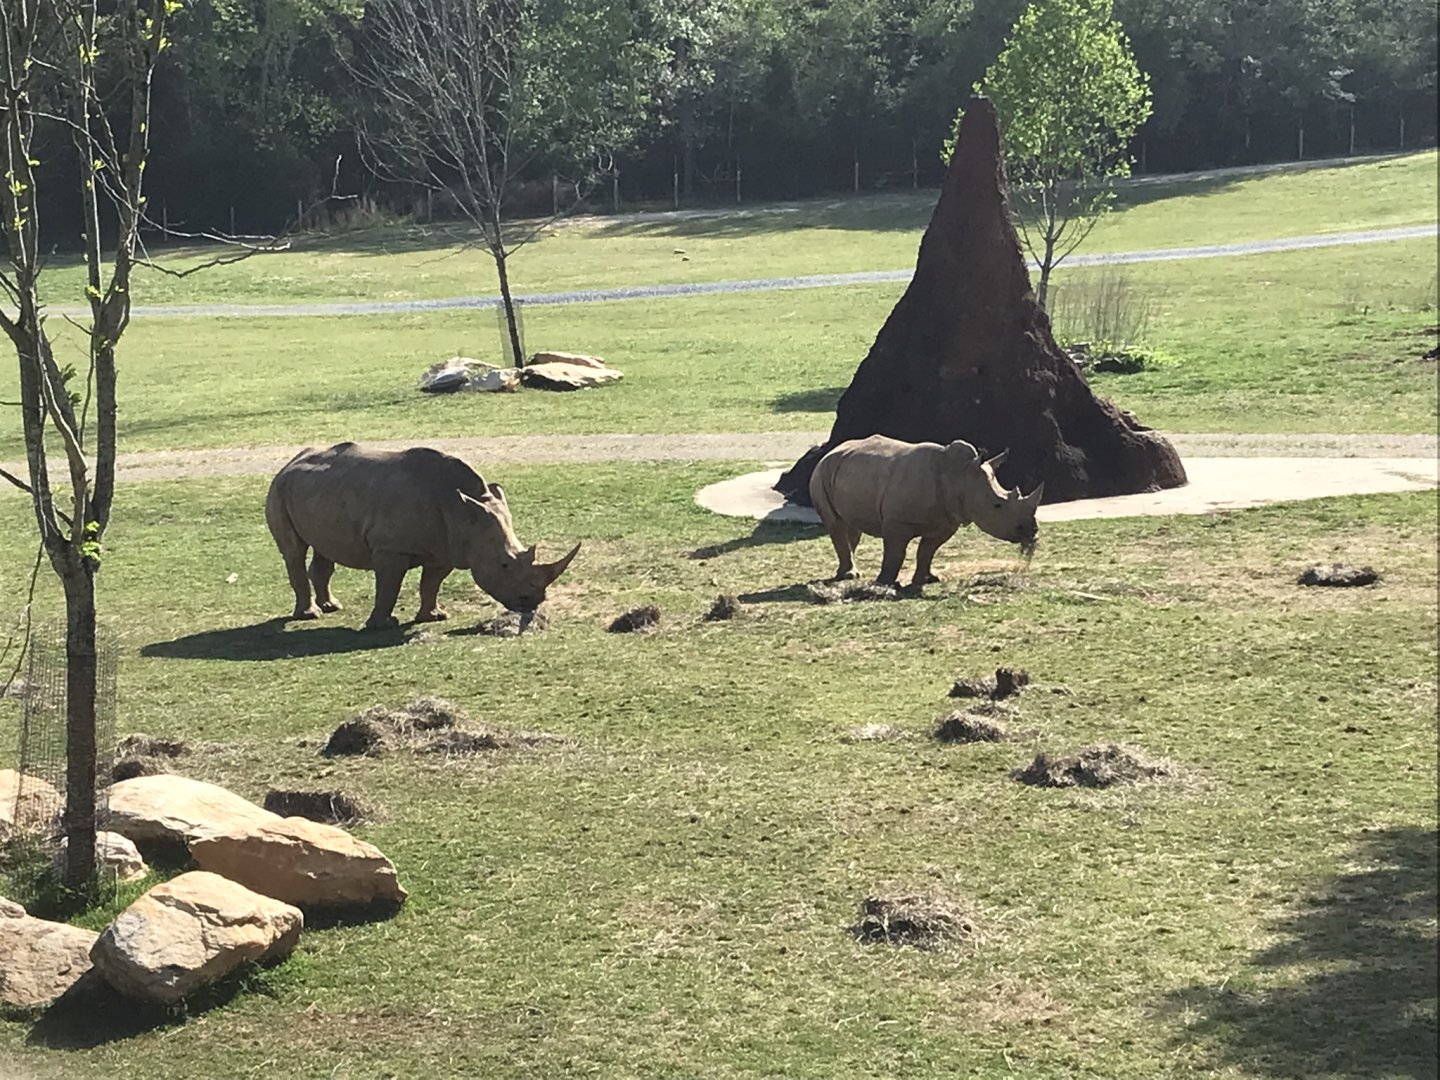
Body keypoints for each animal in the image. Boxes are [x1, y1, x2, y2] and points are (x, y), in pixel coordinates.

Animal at [265, 442, 579, 629]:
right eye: (503, 565)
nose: (531, 602)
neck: (466, 511)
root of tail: (292, 460)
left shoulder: (446, 547)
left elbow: (431, 584)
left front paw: (434, 616)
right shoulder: (390, 548)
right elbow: (388, 587)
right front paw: (381, 625)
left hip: (318, 491)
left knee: (323, 549)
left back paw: (331, 607)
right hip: (278, 487)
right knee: (293, 551)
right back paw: (310, 614)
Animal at [809, 435, 1043, 588]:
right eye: (997, 506)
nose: (1031, 531)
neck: (960, 476)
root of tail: (832, 450)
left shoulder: (947, 522)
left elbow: (927, 551)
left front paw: (927, 579)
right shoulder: (897, 521)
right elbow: (896, 553)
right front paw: (884, 583)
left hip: (847, 472)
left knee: (851, 527)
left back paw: (848, 572)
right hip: (820, 472)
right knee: (836, 524)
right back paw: (850, 576)